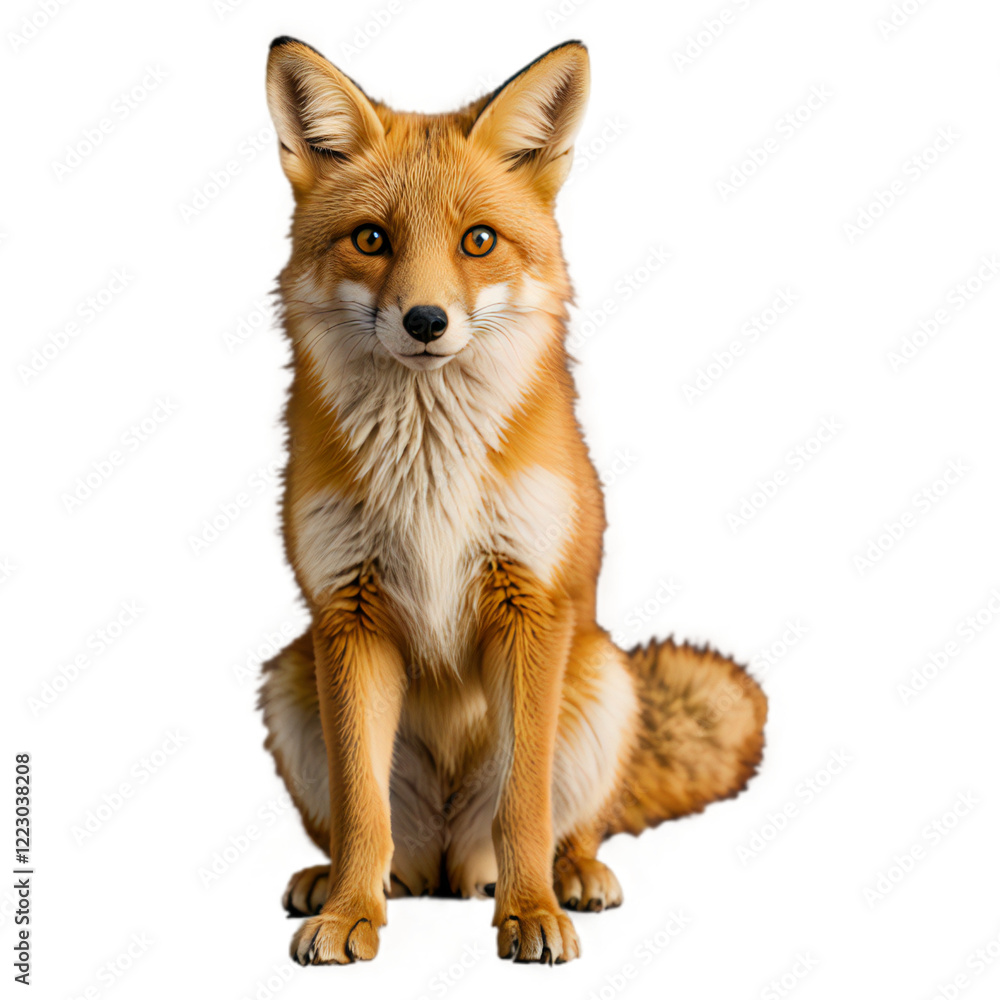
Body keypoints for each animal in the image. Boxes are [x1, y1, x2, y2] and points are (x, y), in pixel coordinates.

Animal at [258, 36, 767, 966]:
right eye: (372, 239)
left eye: (479, 240)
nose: (425, 321)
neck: (429, 471)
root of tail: (447, 865)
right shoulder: (348, 611)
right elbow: (360, 807)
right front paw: (349, 915)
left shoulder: (529, 604)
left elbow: (524, 803)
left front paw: (530, 911)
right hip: (290, 677)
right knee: (369, 837)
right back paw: (344, 881)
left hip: (602, 678)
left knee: (568, 823)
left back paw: (569, 876)